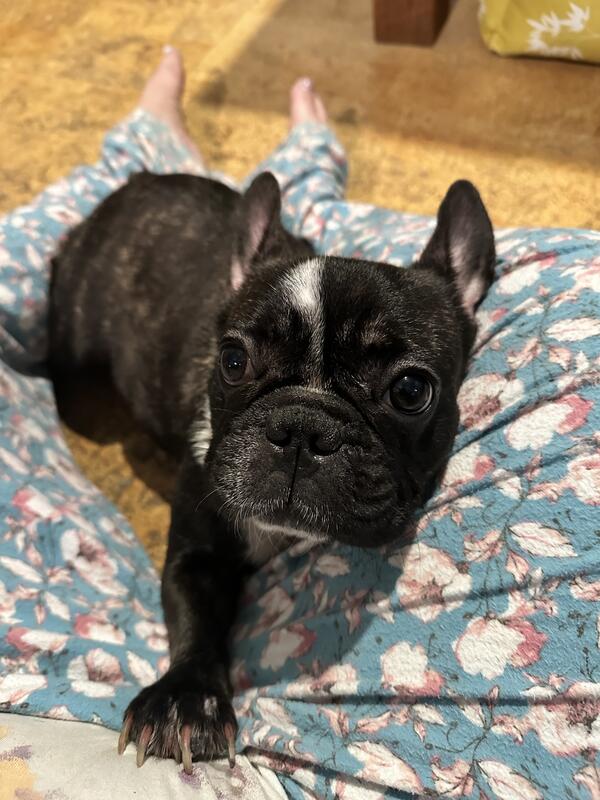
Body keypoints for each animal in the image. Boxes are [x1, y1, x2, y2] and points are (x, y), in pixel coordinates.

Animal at [49, 170, 495, 772]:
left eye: (410, 390)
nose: (302, 428)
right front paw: (185, 699)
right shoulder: (197, 552)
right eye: (233, 360)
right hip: (74, 354)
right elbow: (193, 616)